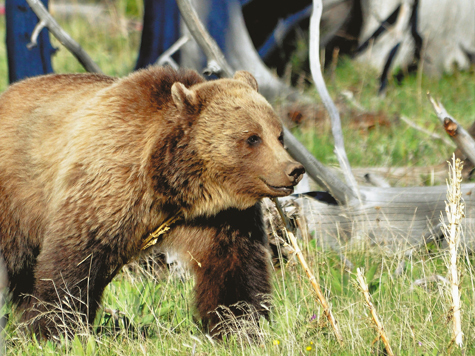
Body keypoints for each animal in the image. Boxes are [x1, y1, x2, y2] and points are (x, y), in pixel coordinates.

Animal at [0, 65, 304, 338]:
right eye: (252, 137)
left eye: (279, 135)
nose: (294, 170)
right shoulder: (110, 184)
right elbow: (76, 257)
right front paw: (54, 328)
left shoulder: (220, 218)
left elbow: (234, 267)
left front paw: (241, 326)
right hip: (17, 194)